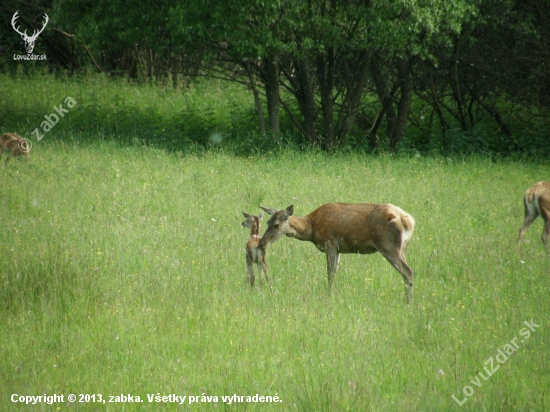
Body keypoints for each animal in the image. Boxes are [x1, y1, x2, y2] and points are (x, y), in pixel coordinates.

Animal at [260, 203, 416, 302]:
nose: (261, 242)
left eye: (276, 225)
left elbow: (330, 273)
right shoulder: (339, 249)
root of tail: (408, 221)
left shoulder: (330, 242)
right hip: (403, 248)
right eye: (267, 222)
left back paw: (408, 302)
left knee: (408, 272)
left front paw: (329, 297)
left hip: (388, 245)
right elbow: (334, 272)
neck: (311, 227)